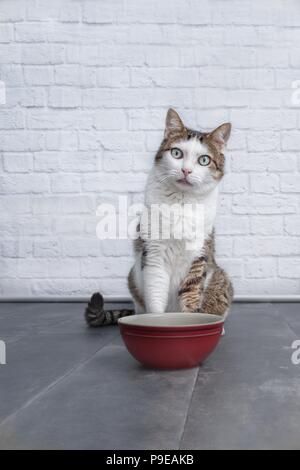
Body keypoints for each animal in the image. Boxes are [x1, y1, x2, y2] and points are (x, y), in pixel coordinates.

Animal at [85, 108, 233, 324]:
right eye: (176, 153)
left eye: (204, 160)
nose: (186, 170)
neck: (181, 202)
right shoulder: (154, 253)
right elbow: (155, 295)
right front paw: (157, 324)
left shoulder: (198, 256)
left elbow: (191, 295)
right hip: (133, 277)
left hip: (221, 278)